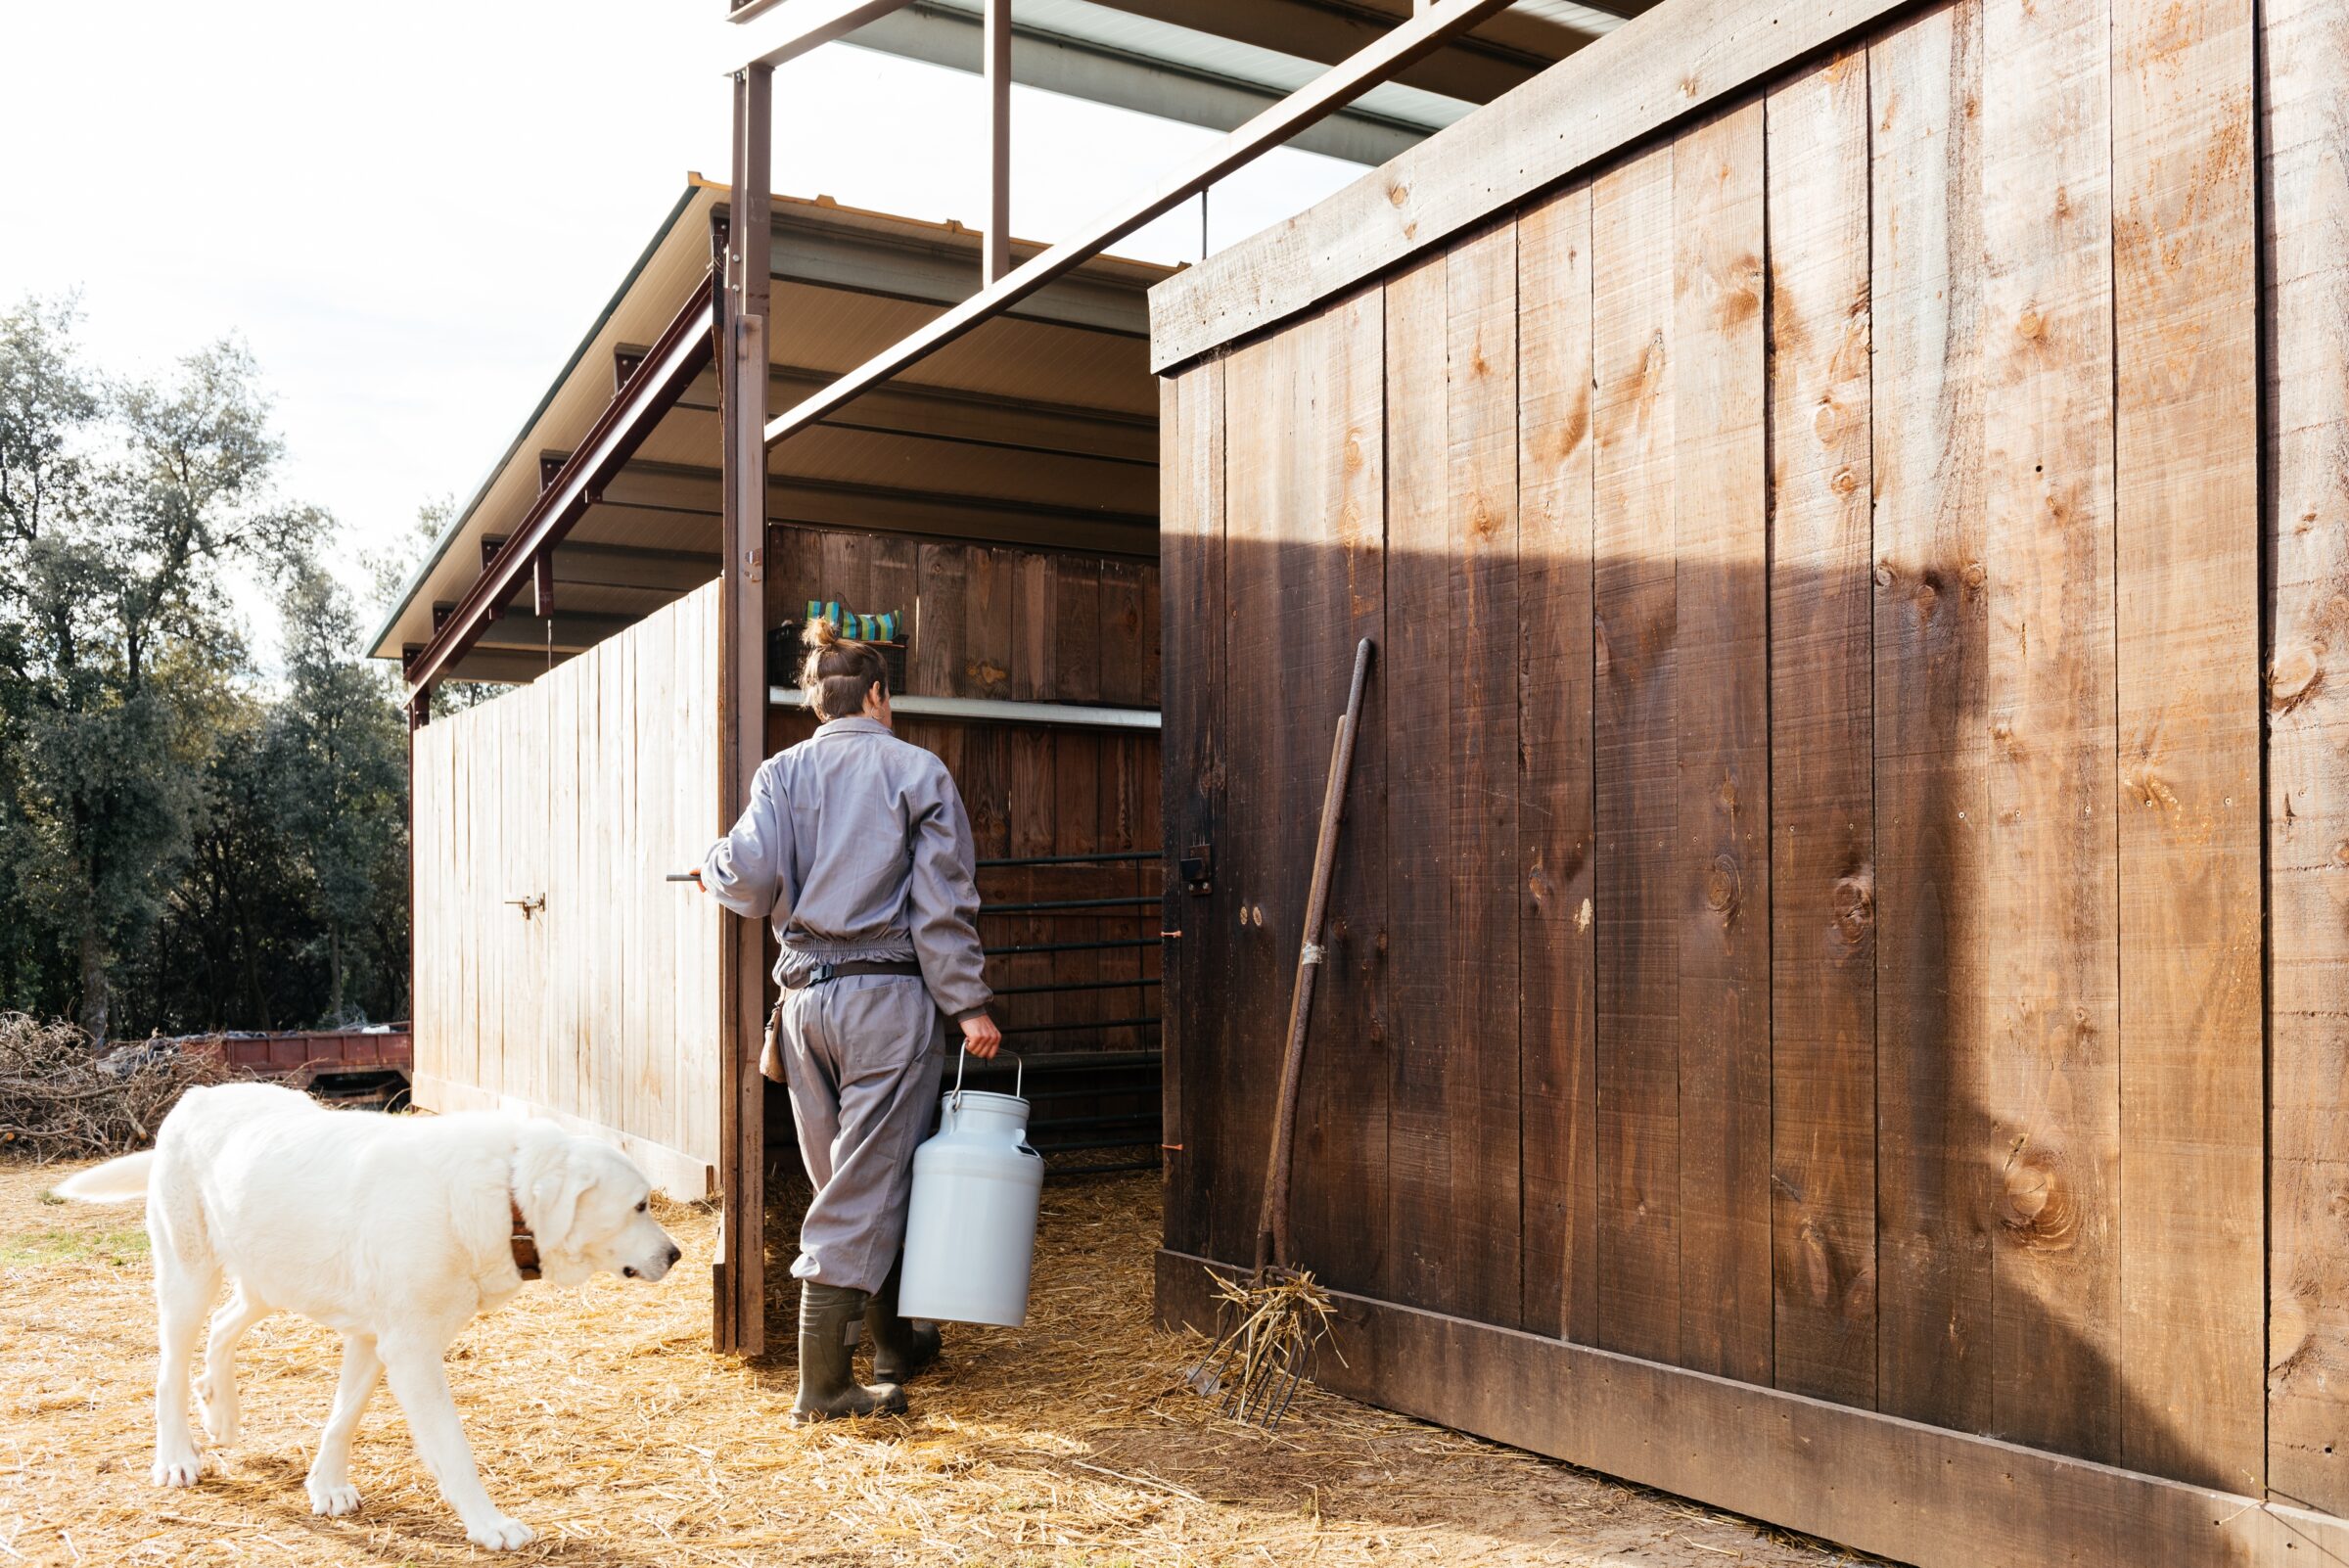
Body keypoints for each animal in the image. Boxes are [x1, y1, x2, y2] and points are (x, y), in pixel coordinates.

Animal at [59, 1084, 685, 1548]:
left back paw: (222, 1414)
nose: (677, 1255)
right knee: (170, 1368)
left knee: (224, 1326)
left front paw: (327, 1487)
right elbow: (453, 1449)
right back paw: (177, 1458)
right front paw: (489, 1526)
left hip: (271, 1277)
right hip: (189, 1278)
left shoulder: (372, 1341)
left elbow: (344, 1418)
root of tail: (198, 1095)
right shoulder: (411, 1354)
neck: (501, 1194)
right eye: (640, 1206)